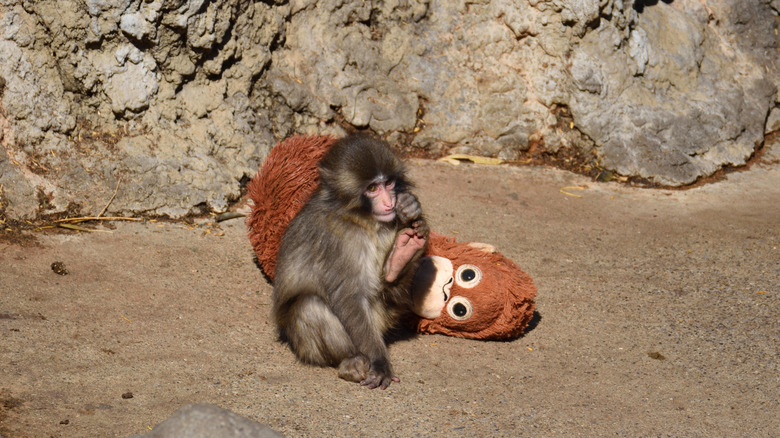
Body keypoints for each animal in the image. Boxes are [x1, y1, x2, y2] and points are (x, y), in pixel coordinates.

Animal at [272, 133, 429, 389]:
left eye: (388, 183)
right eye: (372, 188)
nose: (389, 203)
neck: (361, 218)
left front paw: (410, 206)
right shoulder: (337, 241)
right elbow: (349, 296)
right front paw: (380, 362)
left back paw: (401, 255)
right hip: (307, 347)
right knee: (309, 305)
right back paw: (352, 361)